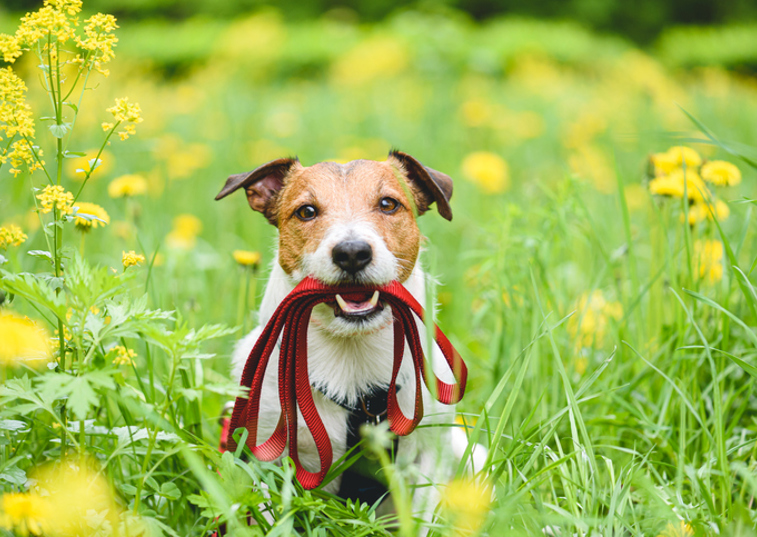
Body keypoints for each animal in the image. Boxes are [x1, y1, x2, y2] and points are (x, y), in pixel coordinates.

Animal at [216, 150, 482, 520]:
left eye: (388, 204)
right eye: (306, 211)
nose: (352, 252)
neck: (351, 355)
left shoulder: (429, 454)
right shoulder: (262, 455)